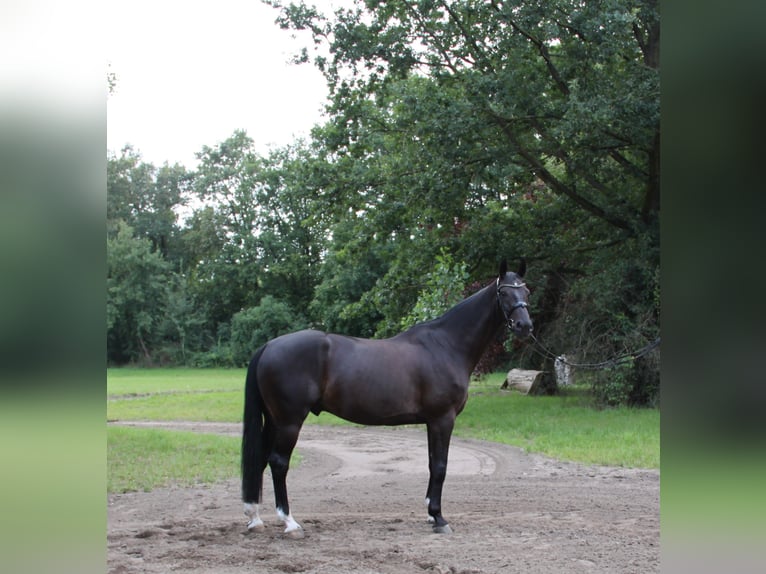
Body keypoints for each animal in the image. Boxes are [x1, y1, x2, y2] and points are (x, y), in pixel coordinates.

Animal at [243, 260, 532, 540]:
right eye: (503, 292)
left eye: (526, 291)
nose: (525, 326)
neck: (446, 345)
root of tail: (268, 346)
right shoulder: (443, 419)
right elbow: (440, 466)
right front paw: (439, 518)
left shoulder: (431, 422)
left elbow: (431, 464)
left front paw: (430, 514)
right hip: (289, 421)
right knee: (278, 463)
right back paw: (290, 523)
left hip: (273, 420)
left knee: (259, 460)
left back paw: (255, 519)